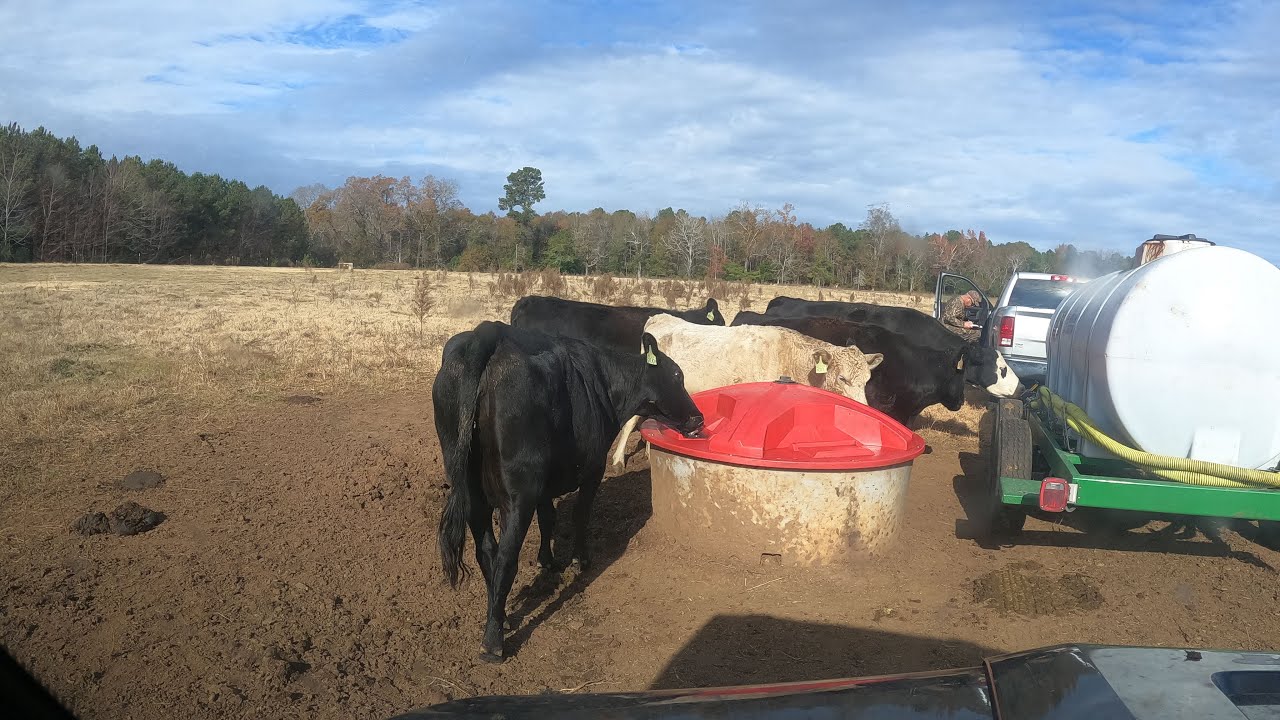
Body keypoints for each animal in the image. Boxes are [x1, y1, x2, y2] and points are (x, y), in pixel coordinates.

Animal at [434, 320, 704, 663]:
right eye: (677, 376)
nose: (699, 418)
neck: (605, 381)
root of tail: (490, 332)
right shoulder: (592, 469)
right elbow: (580, 515)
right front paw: (579, 559)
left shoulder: (546, 483)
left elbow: (548, 517)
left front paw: (547, 560)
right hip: (518, 494)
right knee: (506, 559)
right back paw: (493, 642)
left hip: (472, 494)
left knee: (487, 553)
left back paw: (502, 615)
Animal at [609, 314, 884, 468]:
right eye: (842, 378)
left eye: (867, 379)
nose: (864, 409)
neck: (790, 358)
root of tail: (660, 317)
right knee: (631, 420)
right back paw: (618, 460)